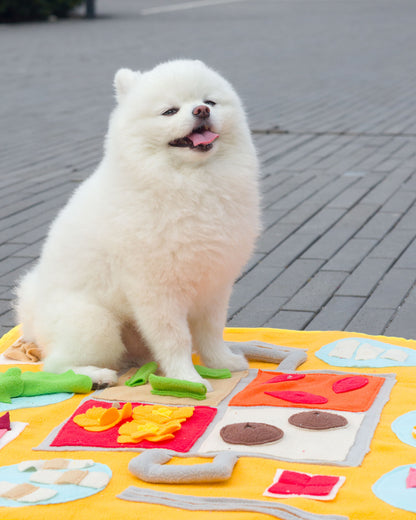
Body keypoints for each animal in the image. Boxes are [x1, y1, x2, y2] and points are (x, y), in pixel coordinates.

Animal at [15, 59, 260, 388]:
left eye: (210, 102)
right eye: (169, 111)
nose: (201, 111)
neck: (191, 183)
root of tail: (31, 316)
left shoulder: (214, 284)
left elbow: (211, 333)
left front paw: (222, 362)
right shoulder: (156, 291)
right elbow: (176, 339)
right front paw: (187, 380)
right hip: (96, 324)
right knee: (54, 365)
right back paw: (97, 376)